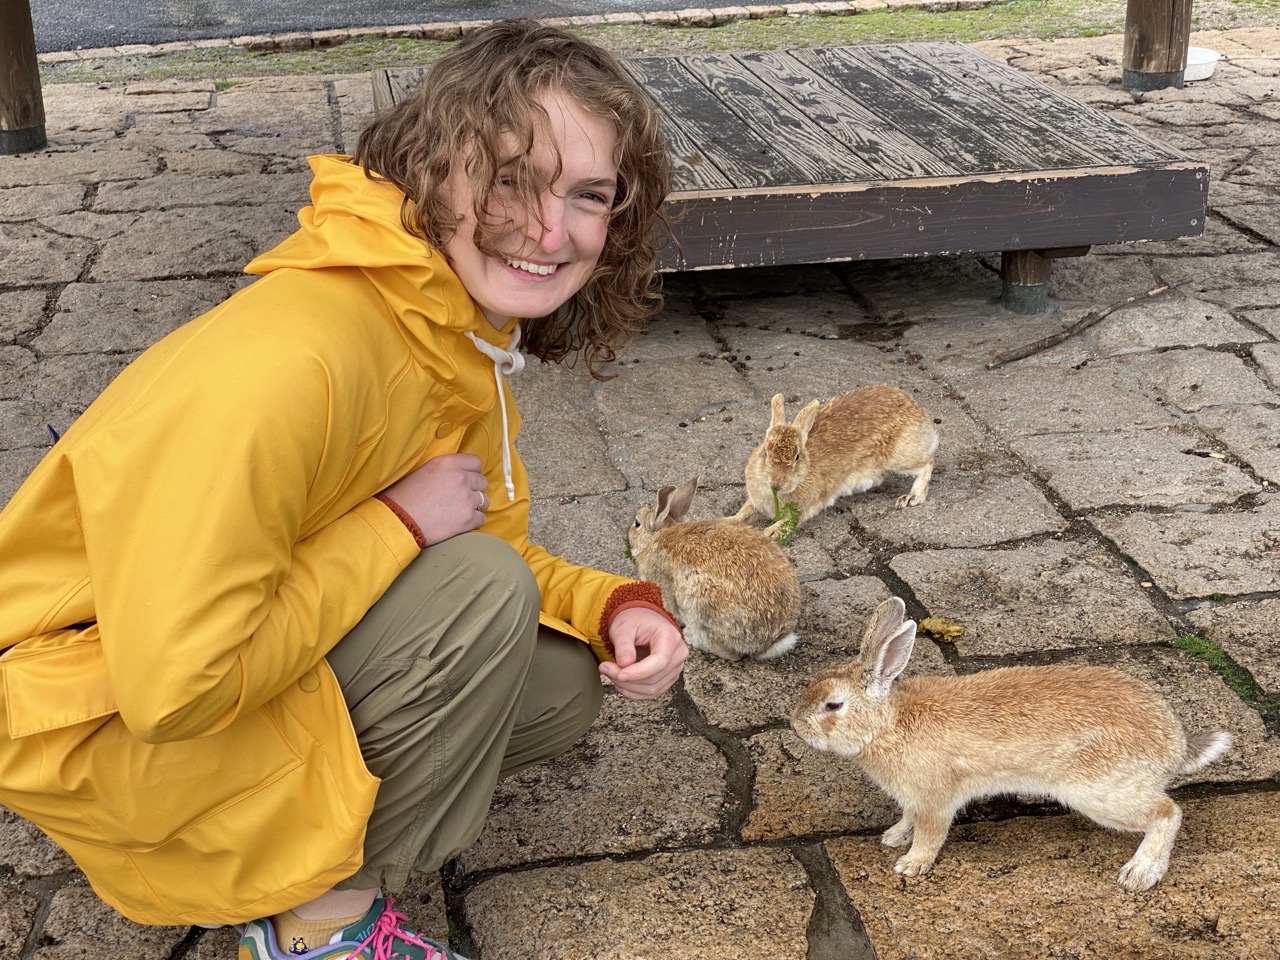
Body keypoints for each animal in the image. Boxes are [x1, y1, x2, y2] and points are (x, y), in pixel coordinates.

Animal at [627, 478, 798, 665]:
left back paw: (691, 638)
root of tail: (771, 640)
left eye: (637, 523)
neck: (657, 536)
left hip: (701, 600)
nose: (628, 535)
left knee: (731, 653)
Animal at [732, 389, 942, 542]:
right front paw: (730, 520)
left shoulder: (808, 506)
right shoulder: (755, 499)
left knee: (928, 462)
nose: (776, 484)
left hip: (898, 458)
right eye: (765, 453)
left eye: (797, 457)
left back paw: (911, 497)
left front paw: (770, 533)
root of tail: (920, 413)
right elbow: (745, 511)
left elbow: (791, 520)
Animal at [788, 601, 1228, 896]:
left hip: (1101, 792)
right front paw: (892, 837)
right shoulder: (913, 798)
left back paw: (1139, 874)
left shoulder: (935, 799)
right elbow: (907, 819)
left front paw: (910, 865)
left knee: (1168, 812)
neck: (887, 725)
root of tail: (1174, 745)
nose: (795, 725)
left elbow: (930, 834)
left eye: (833, 705)